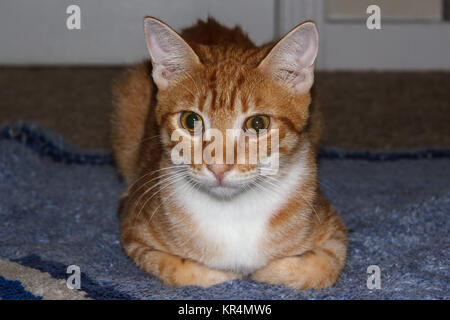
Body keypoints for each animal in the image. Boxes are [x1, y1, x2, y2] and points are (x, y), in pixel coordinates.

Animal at [110, 16, 348, 288]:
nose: (218, 168)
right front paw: (228, 273)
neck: (234, 210)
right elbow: (184, 270)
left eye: (258, 124)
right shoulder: (134, 233)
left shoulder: (334, 233)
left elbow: (316, 268)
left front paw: (264, 271)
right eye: (190, 121)